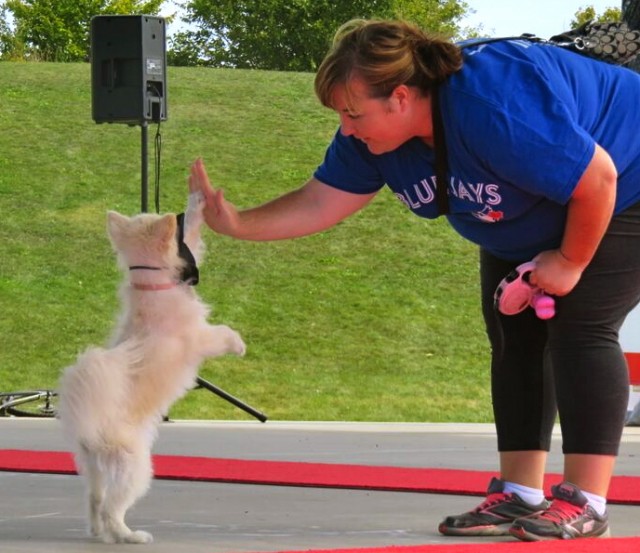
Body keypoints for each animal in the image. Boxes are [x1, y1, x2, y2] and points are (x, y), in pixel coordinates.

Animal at [58, 174, 245, 544]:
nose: (174, 215)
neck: (154, 286)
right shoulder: (200, 337)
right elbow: (222, 334)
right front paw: (239, 343)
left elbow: (194, 235)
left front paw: (196, 200)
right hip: (136, 468)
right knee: (112, 507)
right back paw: (131, 536)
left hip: (95, 470)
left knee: (94, 500)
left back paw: (99, 533)